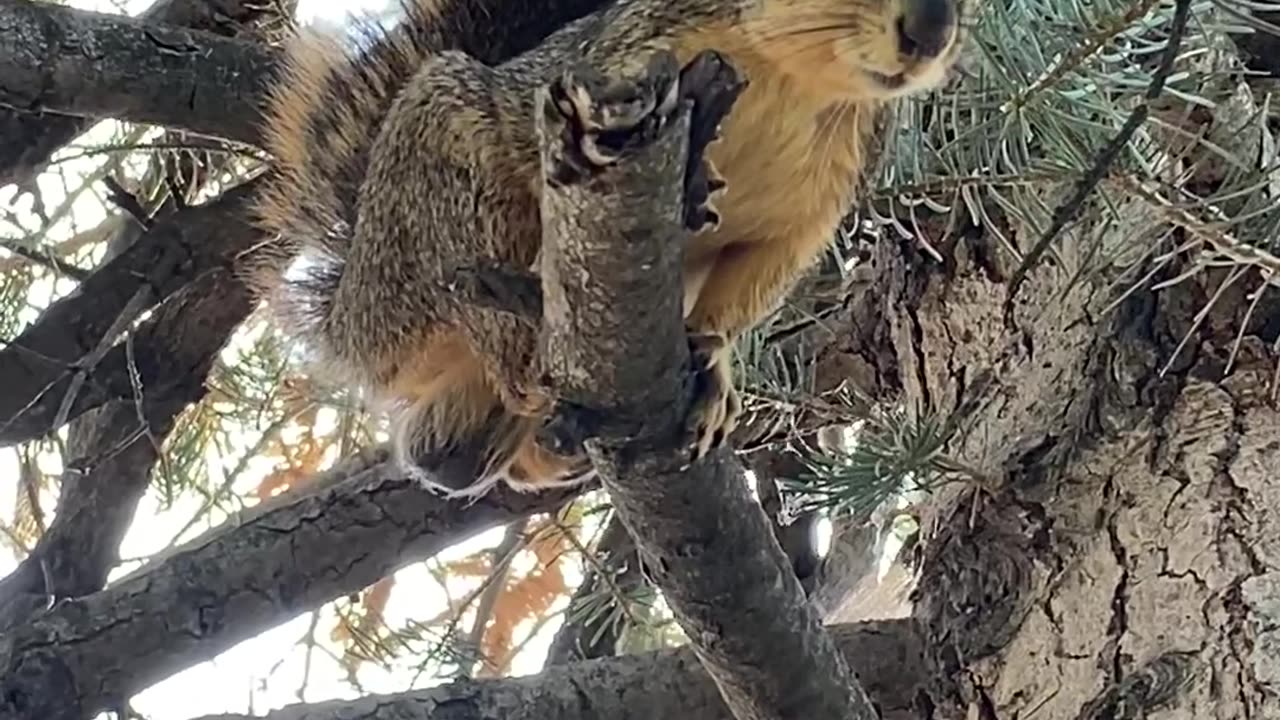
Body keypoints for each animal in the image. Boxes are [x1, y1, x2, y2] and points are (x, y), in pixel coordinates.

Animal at [254, 0, 962, 491]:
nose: (929, 31)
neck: (797, 81)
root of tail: (350, 306)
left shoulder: (812, 213)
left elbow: (749, 289)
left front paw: (713, 366)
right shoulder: (615, 65)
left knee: (448, 446)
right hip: (440, 190)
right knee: (478, 302)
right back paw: (526, 349)